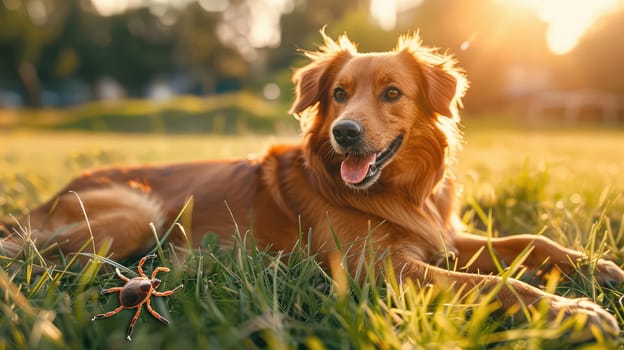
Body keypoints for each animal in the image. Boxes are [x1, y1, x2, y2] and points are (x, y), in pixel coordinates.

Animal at [1, 32, 624, 336]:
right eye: (339, 94)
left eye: (392, 93)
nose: (346, 132)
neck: (398, 192)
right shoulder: (382, 271)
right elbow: (501, 283)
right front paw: (574, 312)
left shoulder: (442, 236)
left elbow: (529, 242)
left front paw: (598, 269)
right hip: (139, 212)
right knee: (34, 261)